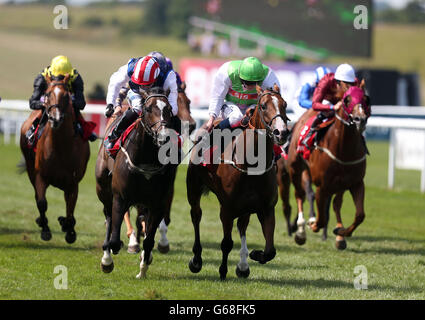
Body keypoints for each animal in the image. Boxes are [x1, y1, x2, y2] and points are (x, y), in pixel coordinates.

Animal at [20, 74, 90, 242]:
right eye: (47, 94)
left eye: (66, 96)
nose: (55, 119)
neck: (60, 146)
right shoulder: (40, 176)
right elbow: (41, 202)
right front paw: (45, 229)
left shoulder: (73, 182)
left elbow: (70, 208)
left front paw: (69, 231)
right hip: (31, 170)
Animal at [95, 85, 178, 278]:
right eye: (147, 109)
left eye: (169, 109)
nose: (163, 136)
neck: (146, 158)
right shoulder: (120, 197)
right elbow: (114, 239)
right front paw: (111, 255)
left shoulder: (158, 203)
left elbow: (149, 241)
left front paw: (143, 269)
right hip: (103, 189)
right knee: (109, 218)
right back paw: (106, 259)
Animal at [186, 84, 288, 280]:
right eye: (263, 106)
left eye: (285, 104)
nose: (282, 132)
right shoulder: (227, 209)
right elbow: (226, 243)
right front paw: (222, 271)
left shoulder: (266, 209)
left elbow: (270, 250)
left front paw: (255, 255)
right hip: (193, 189)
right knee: (196, 216)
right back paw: (196, 259)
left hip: (245, 207)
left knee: (242, 225)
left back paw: (243, 265)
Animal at [284, 85, 368, 250]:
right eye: (347, 99)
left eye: (366, 98)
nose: (360, 120)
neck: (343, 151)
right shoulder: (322, 186)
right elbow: (321, 218)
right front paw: (312, 224)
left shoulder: (355, 183)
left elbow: (359, 215)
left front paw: (341, 232)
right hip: (295, 170)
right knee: (300, 195)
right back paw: (300, 232)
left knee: (336, 204)